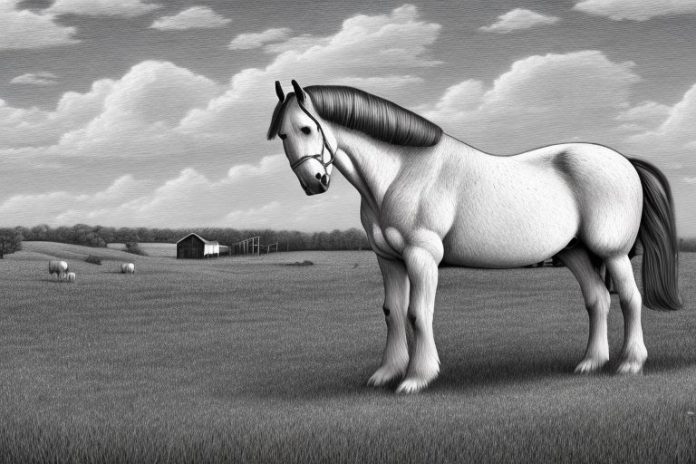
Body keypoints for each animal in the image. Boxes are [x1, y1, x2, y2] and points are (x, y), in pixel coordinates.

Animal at [268, 80, 682, 394]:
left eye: (307, 128)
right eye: (283, 134)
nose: (314, 183)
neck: (402, 172)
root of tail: (625, 161)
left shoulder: (421, 256)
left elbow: (418, 313)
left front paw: (417, 378)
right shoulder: (388, 260)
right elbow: (392, 313)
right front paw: (386, 373)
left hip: (612, 252)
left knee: (630, 300)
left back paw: (630, 363)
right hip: (574, 252)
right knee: (598, 300)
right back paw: (590, 363)